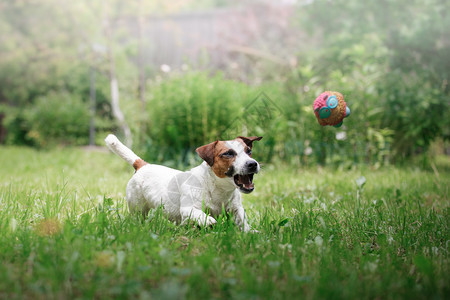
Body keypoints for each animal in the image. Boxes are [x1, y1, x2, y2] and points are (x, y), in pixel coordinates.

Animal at [103, 134, 262, 232]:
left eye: (249, 151)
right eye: (228, 153)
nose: (253, 164)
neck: (218, 188)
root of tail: (143, 165)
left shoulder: (236, 209)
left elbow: (242, 220)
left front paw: (250, 231)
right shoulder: (188, 209)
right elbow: (201, 215)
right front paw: (208, 221)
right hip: (137, 208)